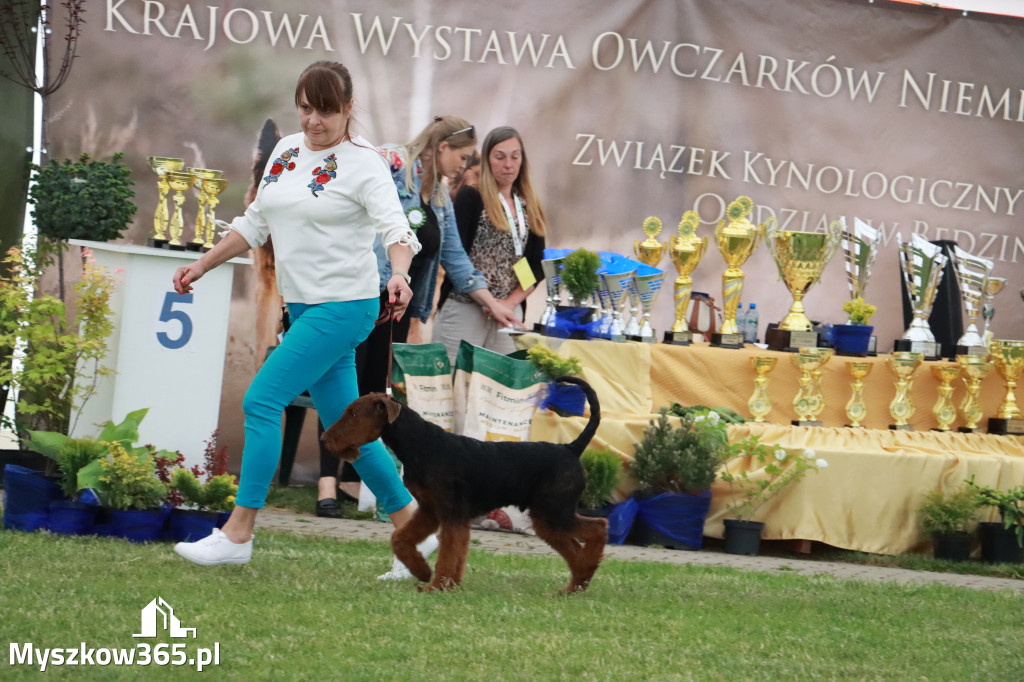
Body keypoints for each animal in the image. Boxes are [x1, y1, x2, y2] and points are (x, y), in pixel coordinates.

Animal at [321, 374, 606, 593]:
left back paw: (583, 576)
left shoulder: (452, 514)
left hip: (556, 513)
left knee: (599, 527)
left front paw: (437, 586)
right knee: (574, 548)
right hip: (547, 519)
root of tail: (571, 448)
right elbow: (400, 539)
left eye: (353, 413)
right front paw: (425, 573)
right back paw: (575, 586)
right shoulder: (429, 510)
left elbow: (449, 554)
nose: (325, 439)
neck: (421, 444)